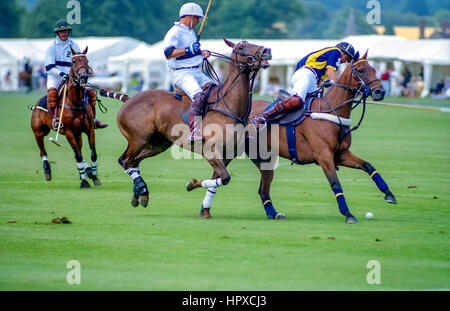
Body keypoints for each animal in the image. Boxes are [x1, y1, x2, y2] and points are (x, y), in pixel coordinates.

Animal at [30, 46, 101, 188]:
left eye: (87, 61)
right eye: (73, 62)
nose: (84, 77)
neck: (76, 102)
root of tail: (36, 104)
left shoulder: (89, 129)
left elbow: (93, 154)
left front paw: (94, 176)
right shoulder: (68, 132)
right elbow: (78, 156)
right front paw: (84, 181)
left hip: (78, 134)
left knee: (79, 149)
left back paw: (88, 170)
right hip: (38, 131)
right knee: (42, 151)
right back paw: (47, 171)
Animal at [116, 39, 274, 218]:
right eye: (241, 47)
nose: (267, 51)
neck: (229, 106)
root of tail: (128, 99)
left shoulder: (227, 154)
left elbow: (218, 180)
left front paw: (204, 208)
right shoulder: (210, 151)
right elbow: (225, 178)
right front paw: (192, 185)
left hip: (158, 144)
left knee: (133, 162)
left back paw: (140, 194)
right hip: (138, 138)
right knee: (125, 160)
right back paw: (142, 191)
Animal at [248, 50, 400, 223]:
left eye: (374, 70)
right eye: (361, 70)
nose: (380, 92)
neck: (332, 109)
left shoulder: (340, 154)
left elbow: (368, 166)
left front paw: (389, 194)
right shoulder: (324, 156)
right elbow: (336, 184)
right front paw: (348, 214)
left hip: (266, 158)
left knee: (263, 190)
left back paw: (274, 213)